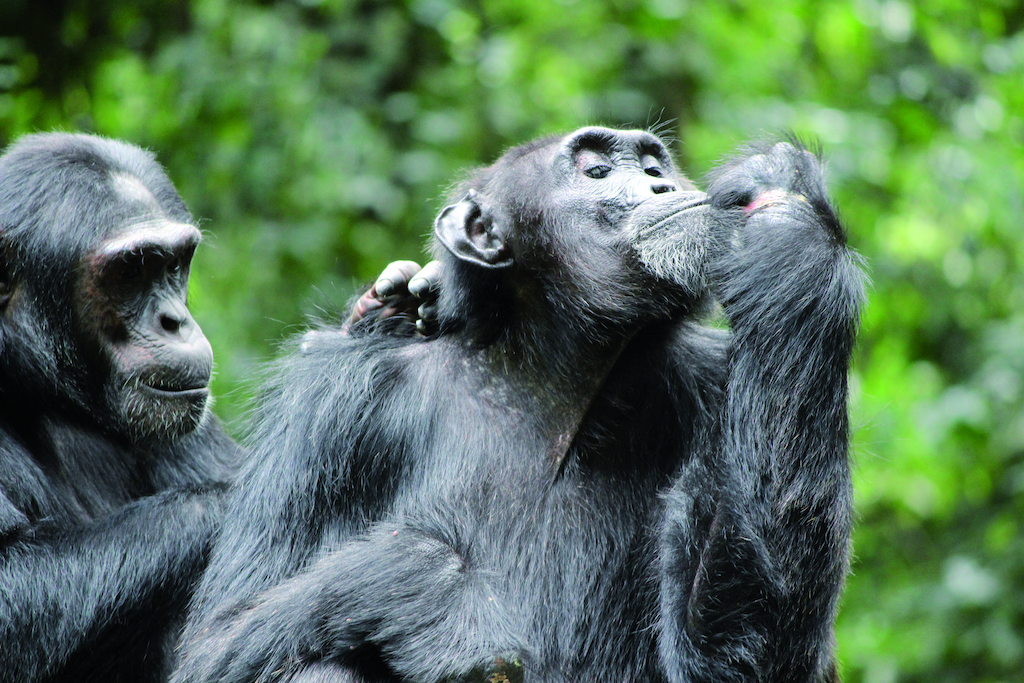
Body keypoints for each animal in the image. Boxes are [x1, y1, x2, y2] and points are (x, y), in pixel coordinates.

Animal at [172, 127, 860, 683]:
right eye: (597, 171)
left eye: (651, 161)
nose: (662, 182)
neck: (556, 382)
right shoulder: (335, 402)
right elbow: (216, 639)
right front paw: (433, 595)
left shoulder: (719, 381)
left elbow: (736, 662)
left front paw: (790, 222)